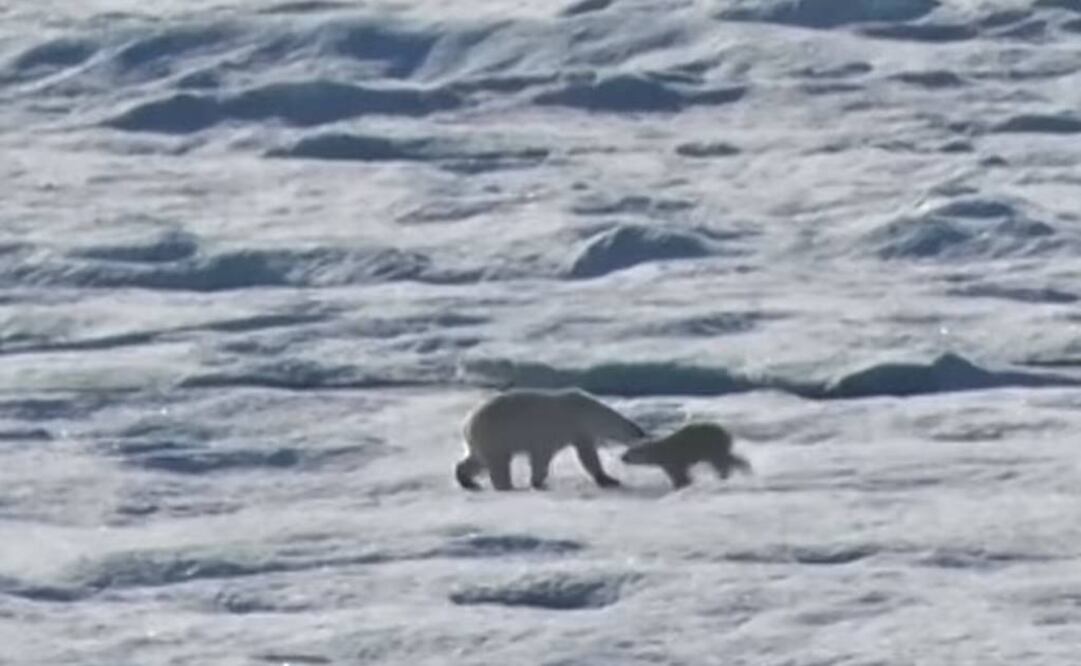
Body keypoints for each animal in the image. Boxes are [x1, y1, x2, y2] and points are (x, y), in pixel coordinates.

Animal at [455, 388, 646, 491]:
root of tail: (467, 424)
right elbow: (546, 456)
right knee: (498, 463)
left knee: (476, 460)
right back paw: (508, 487)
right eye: (634, 430)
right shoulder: (560, 429)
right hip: (495, 436)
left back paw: (468, 481)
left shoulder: (577, 432)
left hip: (483, 441)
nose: (642, 432)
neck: (587, 411)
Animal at [621, 421, 751, 489]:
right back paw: (744, 468)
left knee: (720, 462)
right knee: (729, 458)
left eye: (629, 452)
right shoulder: (668, 463)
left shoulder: (673, 459)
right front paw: (680, 484)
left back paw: (724, 476)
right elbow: (676, 474)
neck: (660, 451)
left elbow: (679, 473)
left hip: (713, 445)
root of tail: (727, 433)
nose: (622, 457)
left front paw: (682, 484)